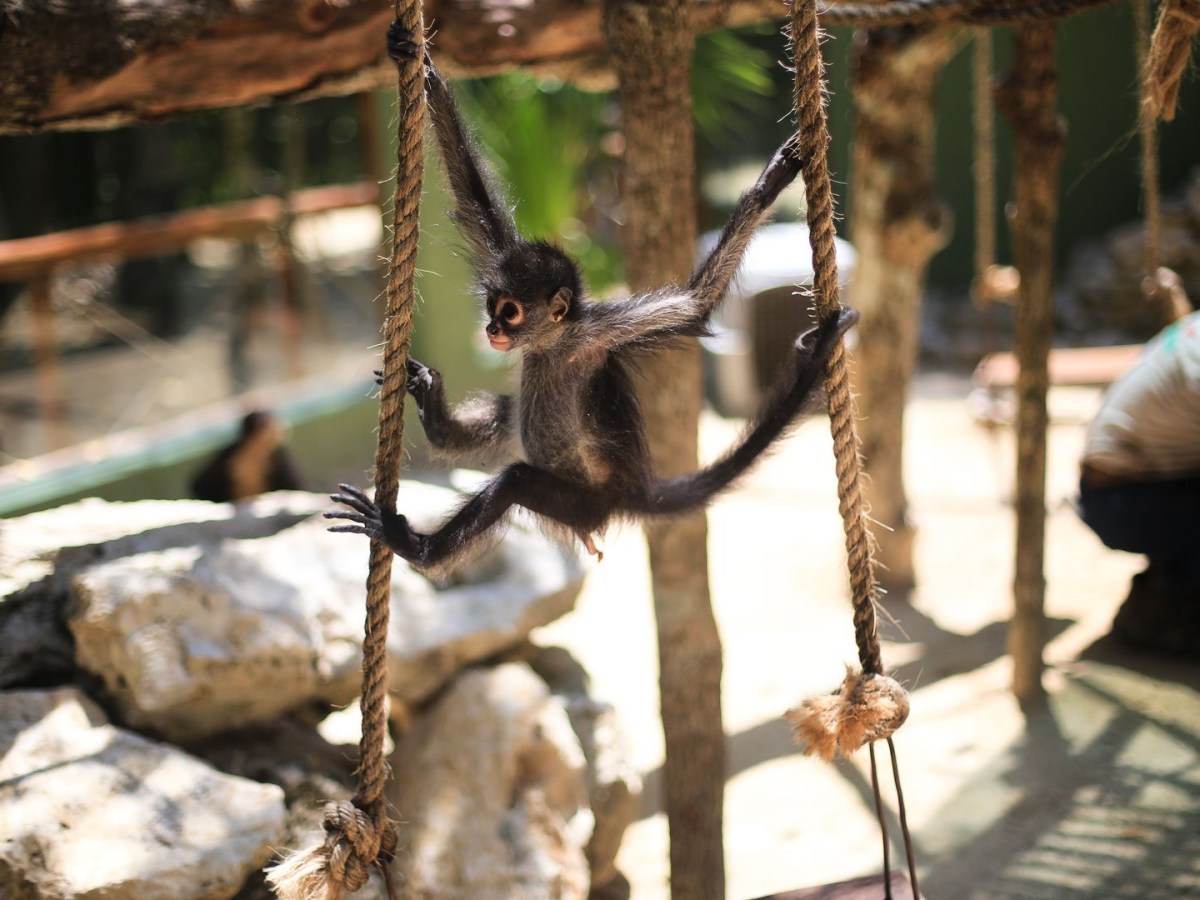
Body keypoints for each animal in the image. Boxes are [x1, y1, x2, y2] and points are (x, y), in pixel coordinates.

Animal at [325, 23, 858, 574]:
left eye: (510, 312)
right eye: (493, 306)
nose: (492, 329)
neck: (553, 345)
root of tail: (628, 494)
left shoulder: (598, 332)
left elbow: (695, 304)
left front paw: (768, 187)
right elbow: (472, 201)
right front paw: (419, 62)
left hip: (583, 504)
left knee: (515, 479)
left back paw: (415, 546)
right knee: (506, 410)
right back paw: (434, 418)